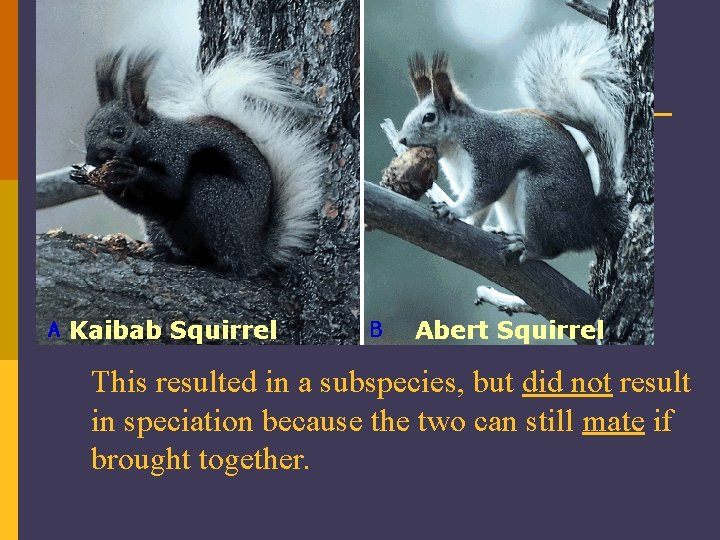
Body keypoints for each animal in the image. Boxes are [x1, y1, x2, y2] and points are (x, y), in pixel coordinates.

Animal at [70, 49, 325, 277]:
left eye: (118, 132)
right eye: (87, 130)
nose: (90, 159)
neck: (154, 139)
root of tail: (253, 254)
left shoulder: (176, 155)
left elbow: (170, 191)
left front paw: (129, 172)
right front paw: (82, 175)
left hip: (211, 197)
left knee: (217, 258)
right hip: (162, 225)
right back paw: (163, 253)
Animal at [397, 23, 628, 263]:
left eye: (429, 117)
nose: (401, 139)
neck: (455, 145)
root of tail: (590, 224)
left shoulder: (490, 154)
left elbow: (484, 193)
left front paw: (454, 210)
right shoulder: (463, 178)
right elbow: (480, 210)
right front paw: (470, 223)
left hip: (541, 197)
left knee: (548, 249)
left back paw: (526, 247)